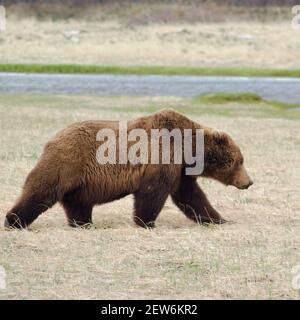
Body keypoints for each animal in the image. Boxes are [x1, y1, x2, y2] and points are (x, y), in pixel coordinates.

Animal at [5, 109, 253, 229]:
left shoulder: (181, 171)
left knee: (78, 202)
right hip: (68, 161)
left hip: (81, 180)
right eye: (239, 161)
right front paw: (146, 222)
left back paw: (84, 223)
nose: (249, 182)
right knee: (42, 189)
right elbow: (153, 192)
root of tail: (53, 138)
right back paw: (13, 220)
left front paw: (219, 219)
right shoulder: (162, 156)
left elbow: (191, 196)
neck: (187, 148)